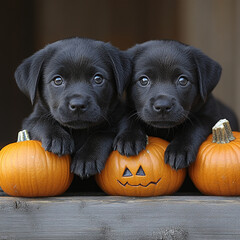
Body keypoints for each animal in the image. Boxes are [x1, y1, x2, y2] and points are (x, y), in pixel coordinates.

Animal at [14, 36, 131, 177]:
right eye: (58, 80)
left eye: (98, 78)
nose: (78, 105)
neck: (79, 131)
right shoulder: (30, 121)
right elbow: (41, 121)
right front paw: (57, 137)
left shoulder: (116, 119)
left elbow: (102, 133)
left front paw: (86, 159)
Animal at [114, 40, 238, 170]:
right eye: (144, 80)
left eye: (182, 80)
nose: (163, 106)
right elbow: (128, 118)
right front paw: (129, 138)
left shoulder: (209, 116)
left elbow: (193, 127)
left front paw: (179, 150)